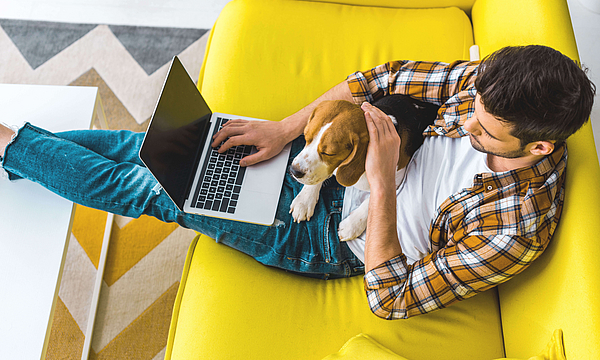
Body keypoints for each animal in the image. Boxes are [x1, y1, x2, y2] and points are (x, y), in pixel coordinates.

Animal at [288, 94, 438, 242]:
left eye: (329, 153)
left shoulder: (397, 178)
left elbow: (370, 200)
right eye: (306, 137)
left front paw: (351, 225)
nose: (294, 171)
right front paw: (304, 200)